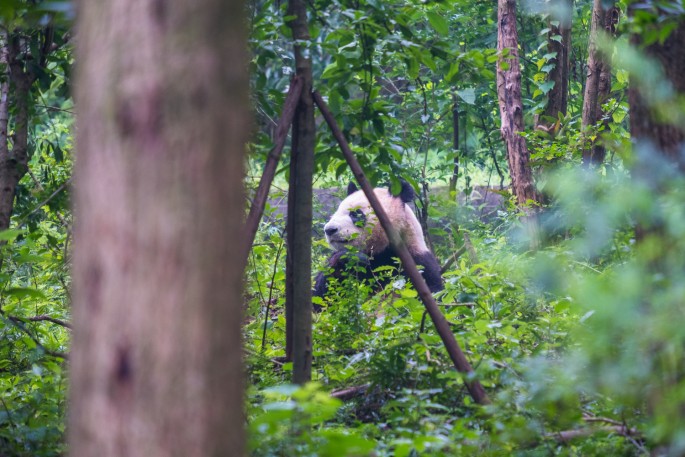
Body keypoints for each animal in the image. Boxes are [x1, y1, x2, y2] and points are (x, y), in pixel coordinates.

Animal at [314, 180, 444, 302]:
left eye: (356, 214)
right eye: (336, 213)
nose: (329, 230)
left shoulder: (418, 263)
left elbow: (432, 291)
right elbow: (321, 296)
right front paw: (348, 258)